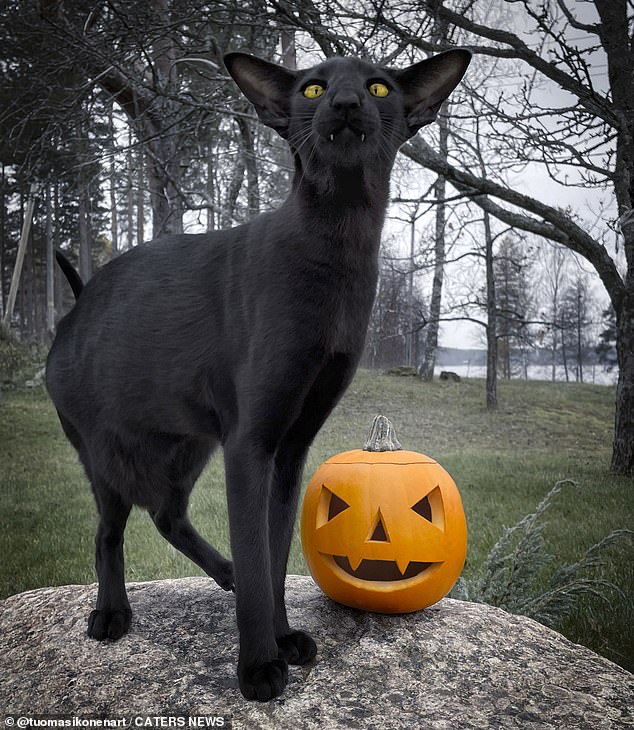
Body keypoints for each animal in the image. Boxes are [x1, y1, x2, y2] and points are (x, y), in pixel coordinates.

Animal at [45, 47, 470, 700]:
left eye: (378, 86)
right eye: (314, 87)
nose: (345, 103)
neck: (338, 244)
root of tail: (76, 306)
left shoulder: (290, 448)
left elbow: (272, 557)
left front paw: (282, 636)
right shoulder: (251, 443)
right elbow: (255, 551)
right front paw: (258, 667)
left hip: (185, 446)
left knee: (168, 516)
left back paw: (220, 573)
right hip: (104, 454)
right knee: (109, 532)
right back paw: (112, 613)